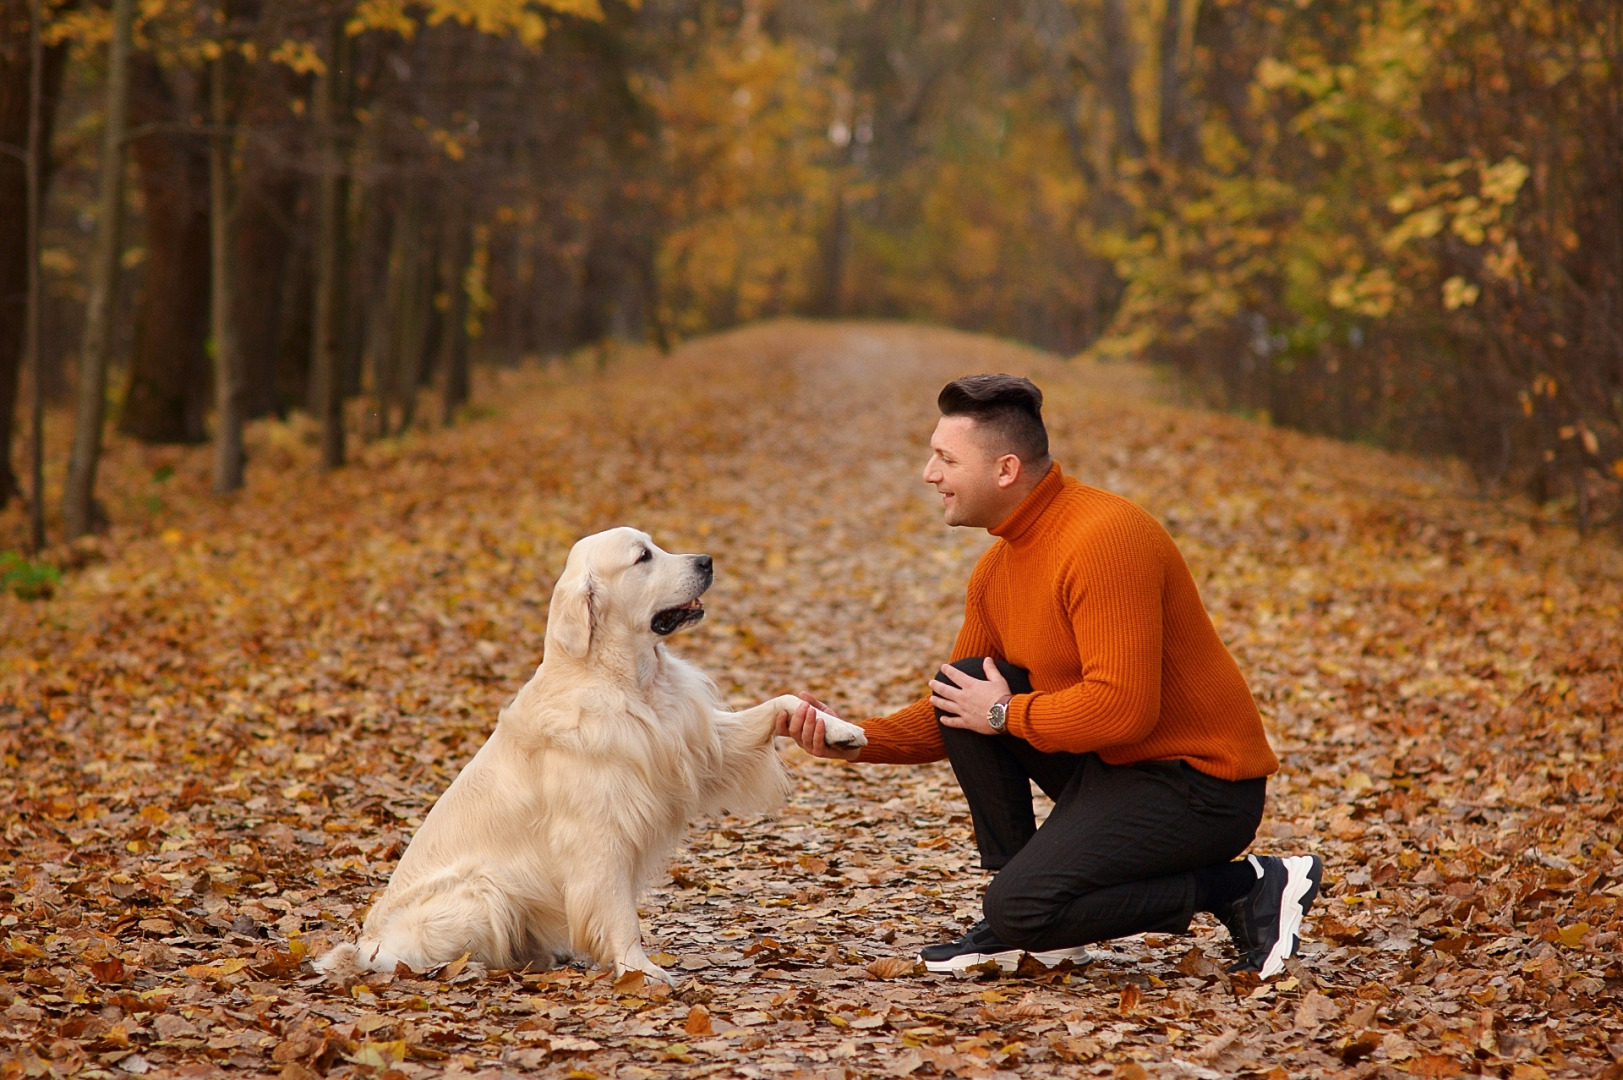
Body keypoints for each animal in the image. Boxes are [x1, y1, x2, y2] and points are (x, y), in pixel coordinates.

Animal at [319, 526, 876, 980]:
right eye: (642, 556)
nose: (707, 560)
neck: (629, 682)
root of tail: (365, 943)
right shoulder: (596, 835)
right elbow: (618, 912)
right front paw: (640, 970)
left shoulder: (700, 742)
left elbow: (783, 703)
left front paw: (839, 728)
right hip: (479, 889)